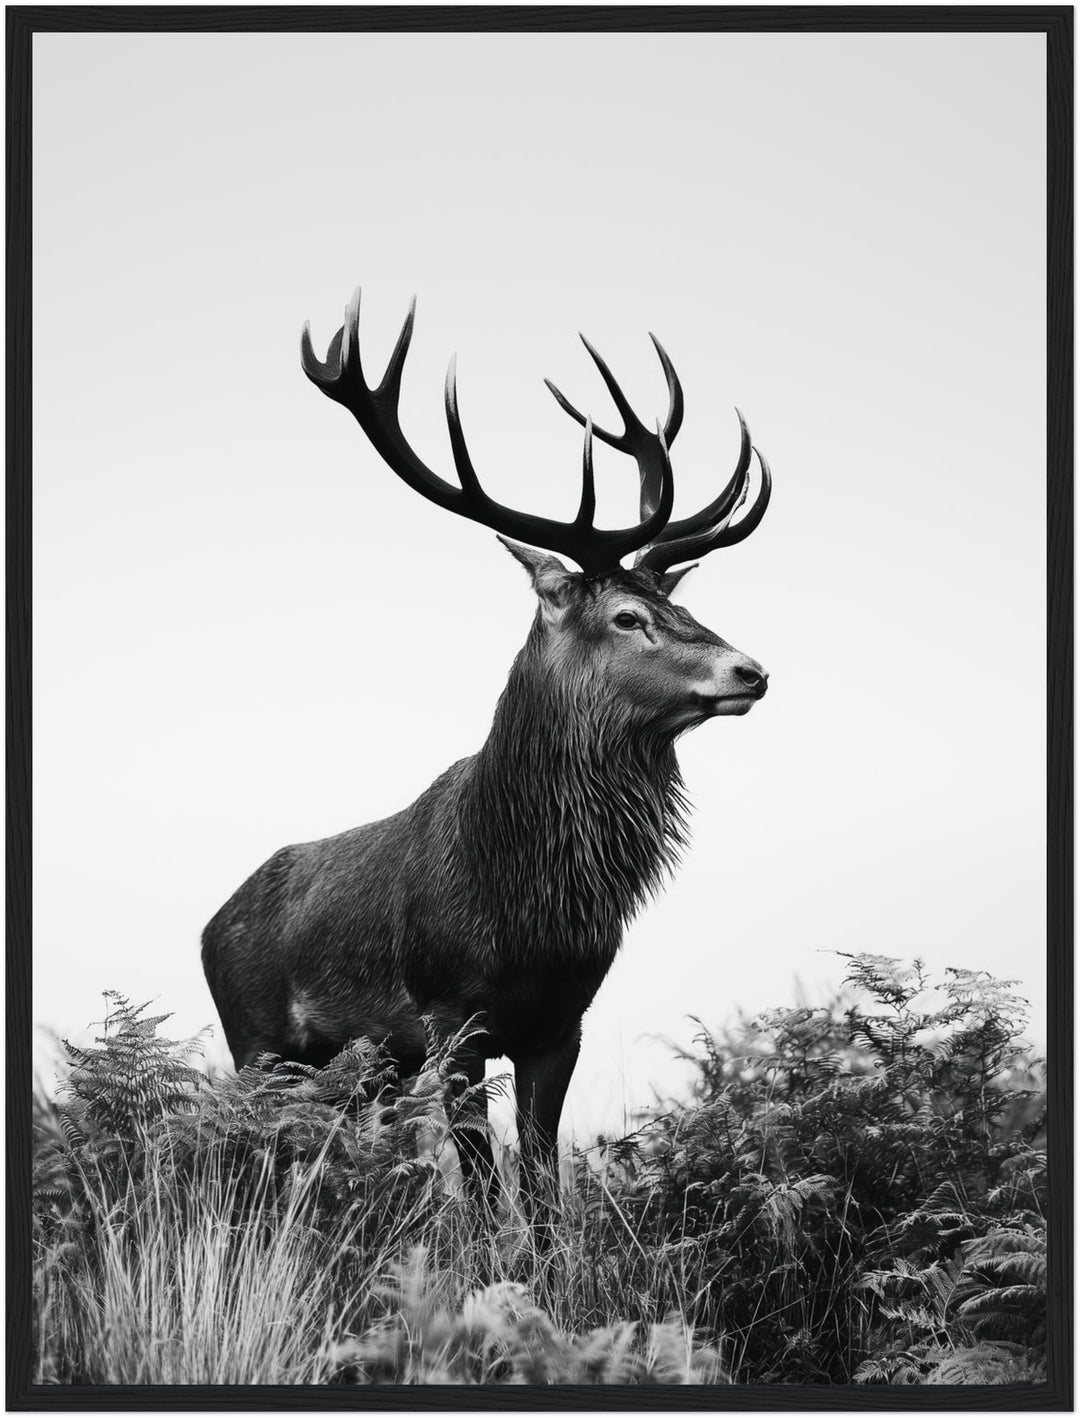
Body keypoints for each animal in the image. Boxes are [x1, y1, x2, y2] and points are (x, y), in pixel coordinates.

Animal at [201, 287, 771, 1229]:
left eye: (679, 605)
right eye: (626, 617)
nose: (752, 670)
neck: (525, 899)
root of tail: (211, 922)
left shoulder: (560, 1022)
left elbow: (540, 1185)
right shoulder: (451, 1015)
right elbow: (476, 1181)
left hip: (362, 1068)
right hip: (256, 1041)